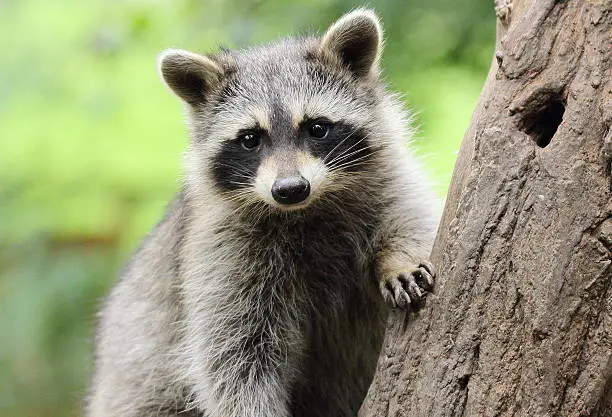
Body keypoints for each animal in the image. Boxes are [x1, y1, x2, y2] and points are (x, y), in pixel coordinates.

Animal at [86, 8, 440, 416]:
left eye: (317, 128)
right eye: (250, 139)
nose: (290, 189)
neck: (307, 209)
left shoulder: (389, 179)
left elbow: (413, 215)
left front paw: (399, 258)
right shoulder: (222, 253)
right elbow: (235, 358)